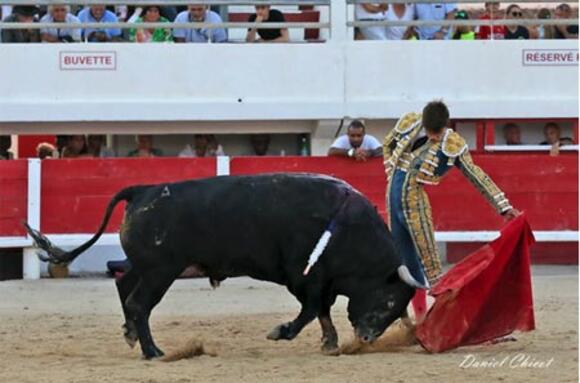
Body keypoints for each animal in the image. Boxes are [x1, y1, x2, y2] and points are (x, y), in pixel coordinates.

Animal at [26, 174, 416, 360]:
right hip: (161, 271)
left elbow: (321, 309)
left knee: (125, 286)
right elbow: (310, 309)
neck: (349, 229)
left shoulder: (322, 280)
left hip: (148, 267)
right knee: (138, 302)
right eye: (388, 300)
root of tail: (144, 189)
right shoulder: (303, 276)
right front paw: (282, 332)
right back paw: (154, 352)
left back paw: (133, 336)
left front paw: (330, 343)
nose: (367, 338)